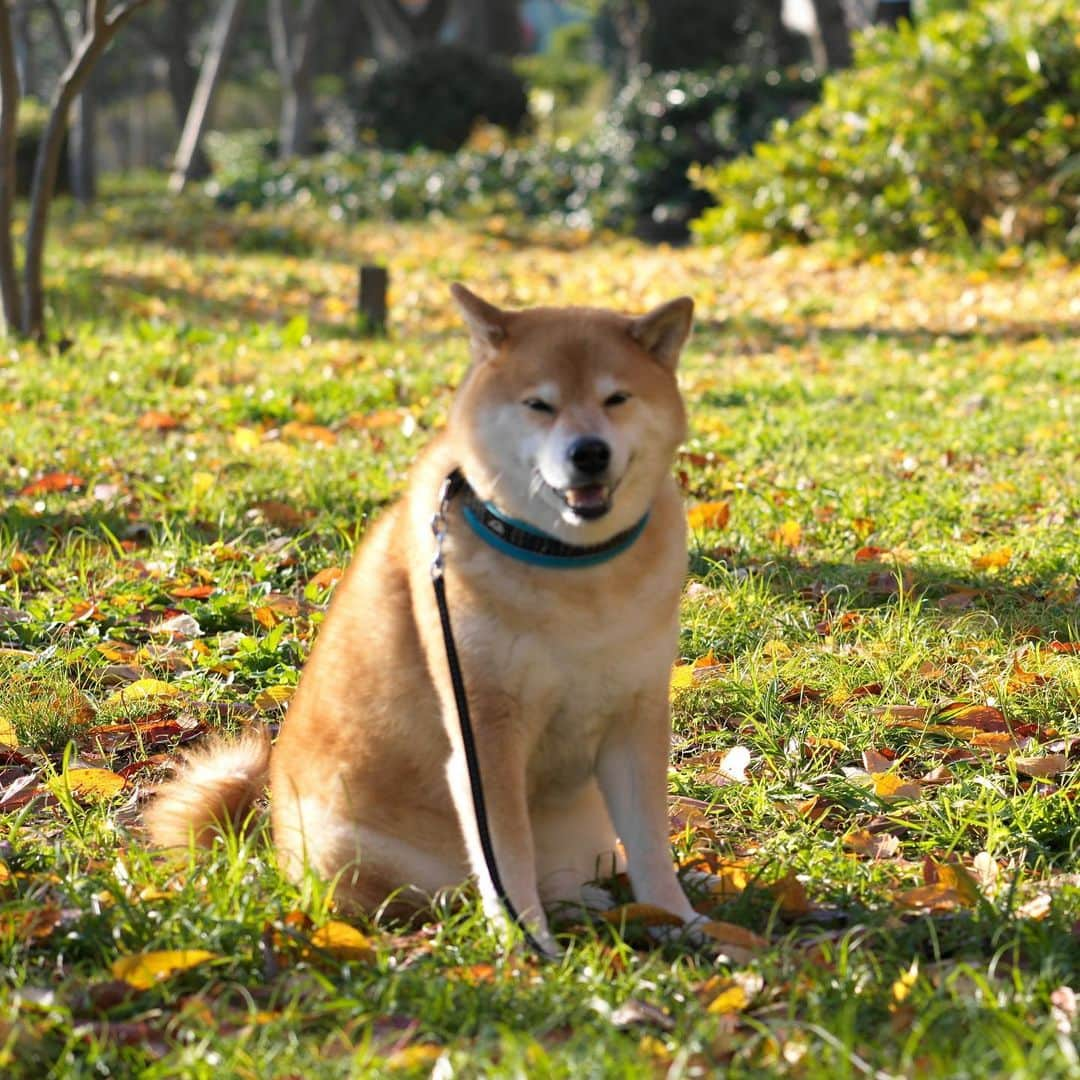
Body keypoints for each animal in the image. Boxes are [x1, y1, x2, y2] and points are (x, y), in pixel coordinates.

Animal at [147, 285, 695, 954]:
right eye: (539, 404)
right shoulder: (485, 734)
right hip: (359, 846)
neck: (570, 567)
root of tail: (269, 843)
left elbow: (650, 847)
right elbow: (505, 854)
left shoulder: (636, 717)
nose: (588, 452)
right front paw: (526, 945)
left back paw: (585, 900)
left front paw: (682, 921)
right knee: (432, 894)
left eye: (617, 398)